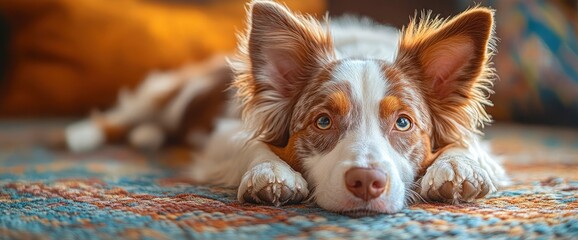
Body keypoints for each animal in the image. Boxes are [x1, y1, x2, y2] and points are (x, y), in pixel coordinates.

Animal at [63, 0, 504, 214]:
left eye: (403, 123)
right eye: (323, 121)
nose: (366, 182)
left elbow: (466, 146)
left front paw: (458, 169)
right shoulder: (227, 133)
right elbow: (253, 146)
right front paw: (271, 175)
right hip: (173, 91)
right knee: (132, 111)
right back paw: (83, 135)